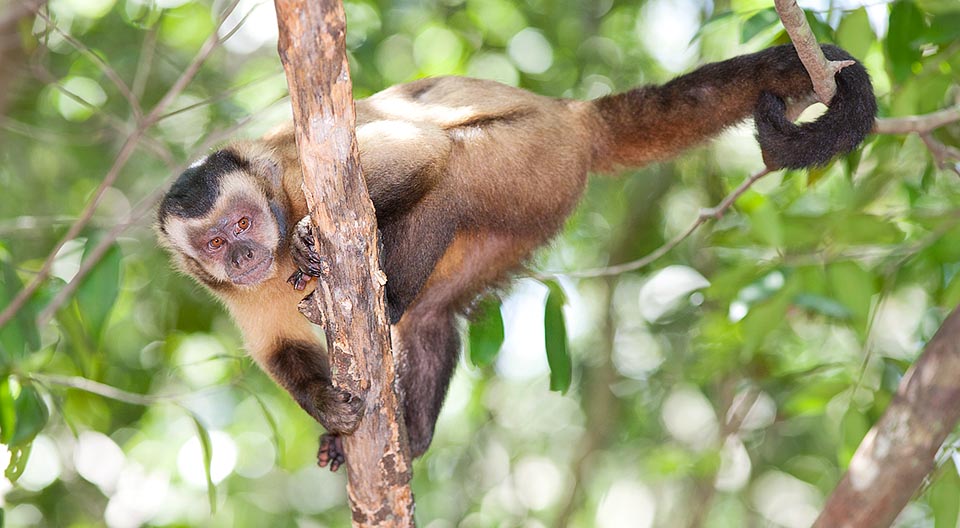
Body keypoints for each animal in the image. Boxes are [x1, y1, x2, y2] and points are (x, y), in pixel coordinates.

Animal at [156, 42, 876, 470]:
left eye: (245, 221)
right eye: (216, 242)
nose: (244, 254)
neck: (274, 247)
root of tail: (572, 112)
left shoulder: (296, 172)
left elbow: (422, 156)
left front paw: (311, 241)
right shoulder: (233, 294)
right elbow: (277, 352)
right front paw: (326, 409)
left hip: (537, 158)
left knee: (457, 172)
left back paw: (389, 298)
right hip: (530, 209)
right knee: (435, 314)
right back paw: (412, 427)